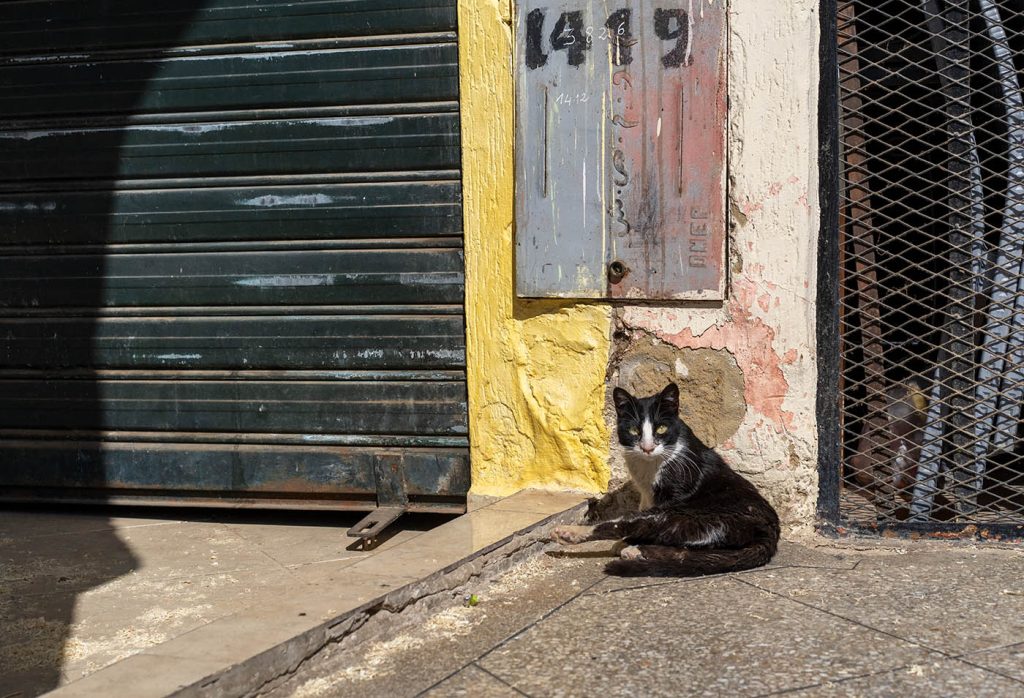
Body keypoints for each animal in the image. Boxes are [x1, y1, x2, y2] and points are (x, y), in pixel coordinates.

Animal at [552, 382, 774, 573]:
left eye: (661, 428)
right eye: (634, 430)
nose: (647, 447)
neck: (649, 466)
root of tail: (770, 532)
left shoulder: (673, 493)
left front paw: (628, 542)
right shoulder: (646, 496)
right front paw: (630, 543)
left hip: (685, 514)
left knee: (631, 525)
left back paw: (571, 534)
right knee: (690, 551)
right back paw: (635, 551)